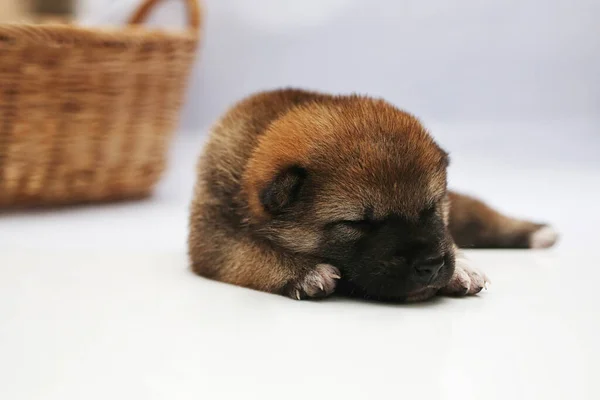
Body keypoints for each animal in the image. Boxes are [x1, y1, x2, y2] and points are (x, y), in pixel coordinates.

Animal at [189, 87, 556, 300]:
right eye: (358, 224)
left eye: (431, 209)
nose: (431, 266)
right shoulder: (213, 236)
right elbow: (251, 253)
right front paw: (306, 271)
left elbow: (451, 239)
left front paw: (460, 268)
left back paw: (539, 233)